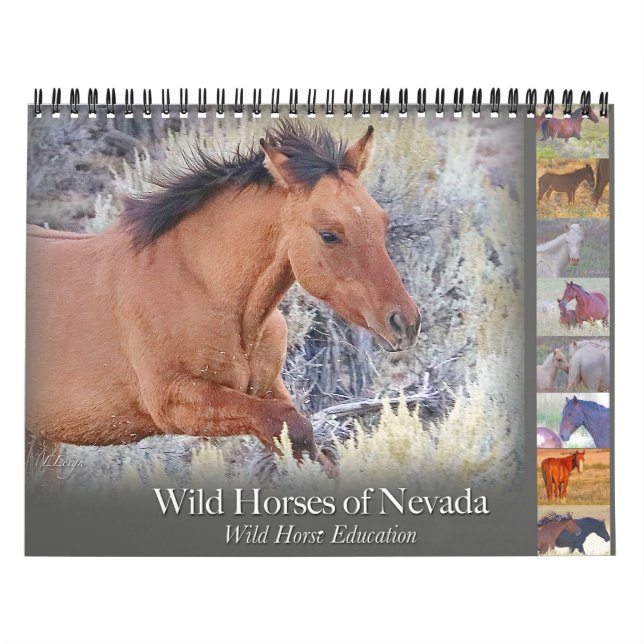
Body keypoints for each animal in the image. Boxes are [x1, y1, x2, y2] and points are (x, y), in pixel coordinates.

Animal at [26, 121, 421, 474]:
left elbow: (303, 441)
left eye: (383, 222)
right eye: (329, 234)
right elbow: (294, 426)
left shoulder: (265, 389)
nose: (405, 322)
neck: (202, 287)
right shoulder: (176, 401)